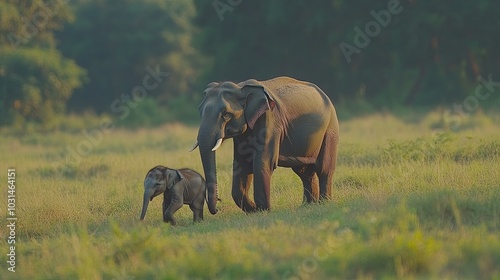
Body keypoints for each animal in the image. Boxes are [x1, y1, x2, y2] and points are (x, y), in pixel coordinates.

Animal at [191, 75, 340, 213]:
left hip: (330, 129)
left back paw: (324, 203)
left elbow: (262, 162)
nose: (217, 208)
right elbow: (242, 163)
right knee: (304, 171)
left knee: (323, 168)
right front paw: (253, 210)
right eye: (199, 111)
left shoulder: (270, 120)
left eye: (226, 115)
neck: (241, 87)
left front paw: (262, 210)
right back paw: (308, 205)